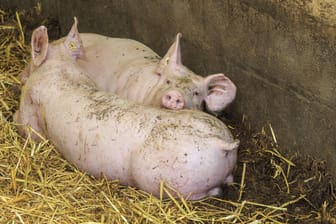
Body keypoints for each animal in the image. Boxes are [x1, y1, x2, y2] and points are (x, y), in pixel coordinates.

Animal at [15, 18, 239, 200]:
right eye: (166, 81)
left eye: (196, 93)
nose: (175, 96)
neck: (60, 68)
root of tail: (219, 142)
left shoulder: (30, 112)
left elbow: (28, 128)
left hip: (171, 182)